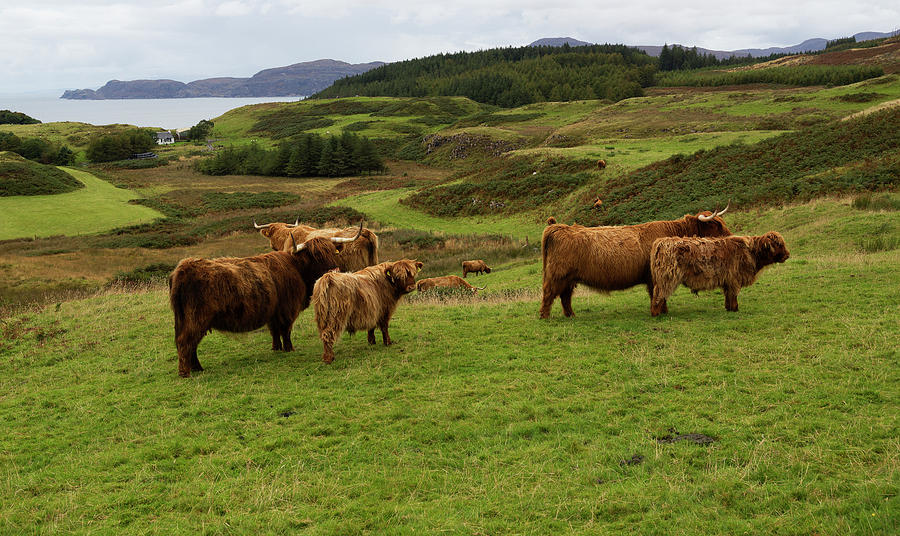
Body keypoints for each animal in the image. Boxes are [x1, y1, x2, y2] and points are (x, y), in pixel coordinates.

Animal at [169, 222, 362, 376]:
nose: (335, 270)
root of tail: (184, 267)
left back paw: (197, 368)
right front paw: (289, 349)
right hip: (196, 318)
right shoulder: (288, 309)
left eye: (333, 252)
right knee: (186, 342)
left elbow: (274, 330)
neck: (297, 268)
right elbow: (286, 330)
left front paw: (276, 348)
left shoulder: (274, 311)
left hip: (186, 320)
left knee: (190, 344)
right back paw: (186, 372)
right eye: (316, 255)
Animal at [540, 207, 732, 318]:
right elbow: (658, 293)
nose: (730, 237)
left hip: (569, 279)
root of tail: (557, 227)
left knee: (565, 297)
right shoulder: (655, 276)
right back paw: (545, 316)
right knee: (549, 293)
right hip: (558, 275)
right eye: (715, 225)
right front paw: (661, 311)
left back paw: (570, 315)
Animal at [648, 231, 788, 316]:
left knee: (661, 295)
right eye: (779, 244)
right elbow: (733, 295)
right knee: (659, 294)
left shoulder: (728, 281)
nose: (788, 255)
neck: (751, 252)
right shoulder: (734, 279)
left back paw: (664, 311)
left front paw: (728, 308)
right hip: (667, 277)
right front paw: (735, 309)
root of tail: (660, 242)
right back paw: (656, 313)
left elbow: (728, 296)